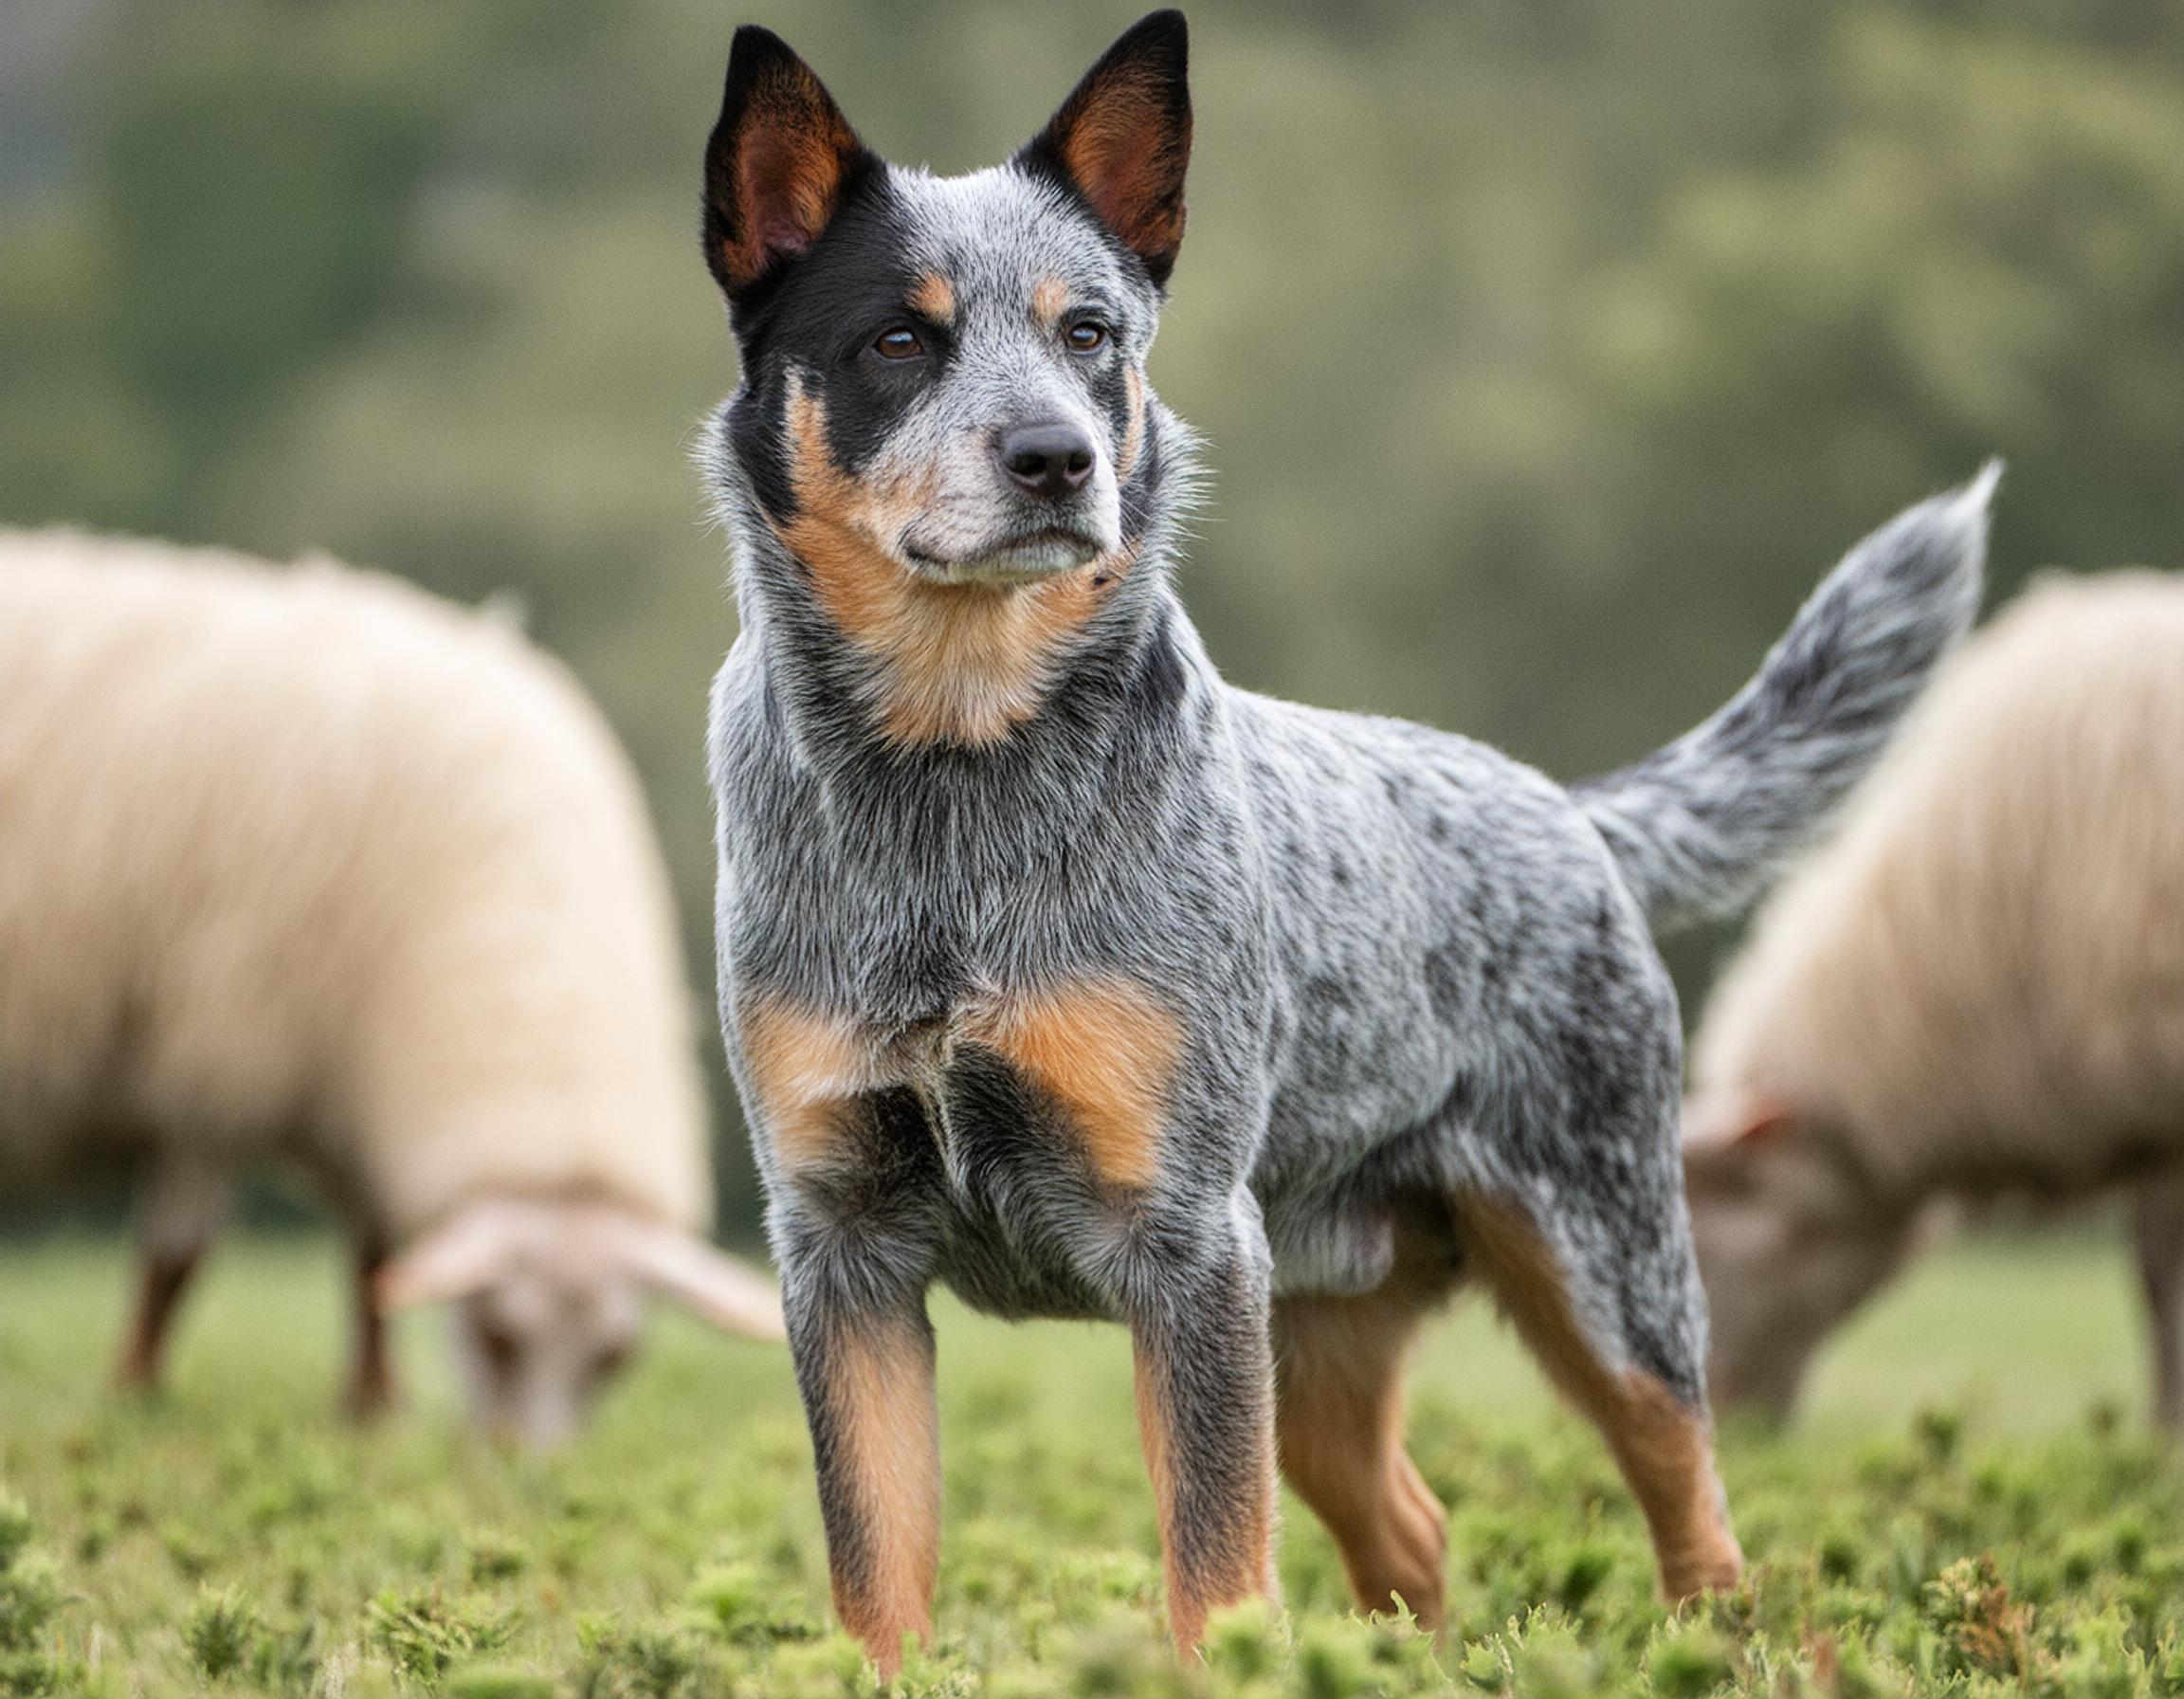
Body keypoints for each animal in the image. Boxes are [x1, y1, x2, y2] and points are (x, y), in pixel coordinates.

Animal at [0, 521, 786, 1432]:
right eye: (497, 1335)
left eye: (613, 1358)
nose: (533, 1464)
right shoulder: (210, 1059)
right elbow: (177, 1256)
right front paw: (135, 1393)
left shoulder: (358, 1075)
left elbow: (372, 1259)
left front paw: (372, 1410)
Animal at [699, 9, 2000, 1668]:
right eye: (898, 340)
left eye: (1091, 332)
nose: (1058, 456)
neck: (949, 790)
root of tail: (1563, 806)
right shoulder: (842, 1254)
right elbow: (877, 1574)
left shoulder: (1190, 1251)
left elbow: (1214, 1575)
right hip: (1316, 1338)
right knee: (1415, 1537)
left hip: (1601, 1269)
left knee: (1694, 1503)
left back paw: (1718, 1643)